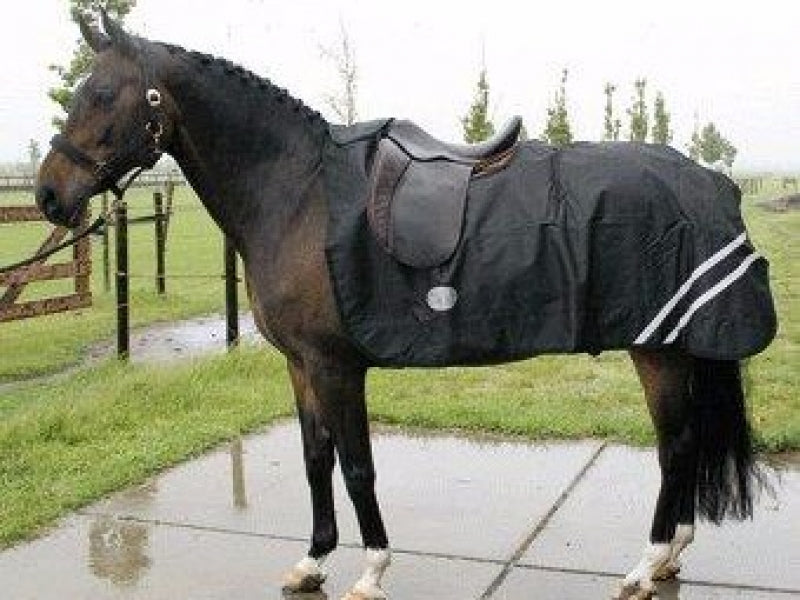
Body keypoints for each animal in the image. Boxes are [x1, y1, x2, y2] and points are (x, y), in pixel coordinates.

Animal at [35, 12, 776, 600]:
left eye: (103, 94)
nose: (47, 195)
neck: (295, 192)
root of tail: (710, 181)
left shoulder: (336, 367)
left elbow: (357, 465)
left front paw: (370, 572)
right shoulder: (300, 366)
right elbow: (316, 459)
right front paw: (312, 562)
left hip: (656, 347)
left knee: (675, 446)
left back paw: (644, 566)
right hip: (677, 346)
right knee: (685, 444)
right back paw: (671, 556)